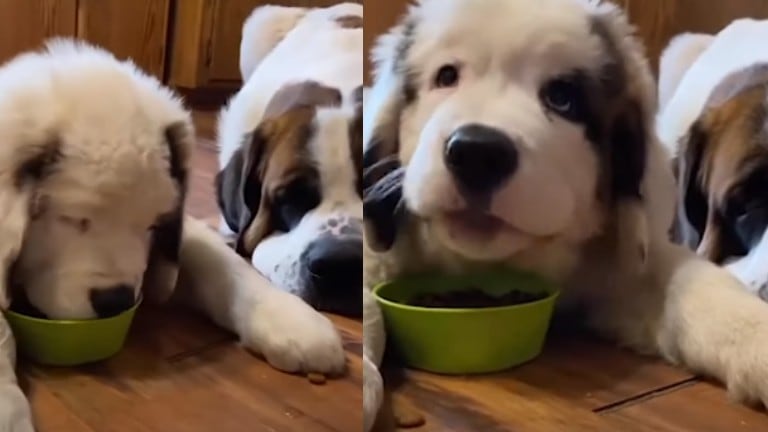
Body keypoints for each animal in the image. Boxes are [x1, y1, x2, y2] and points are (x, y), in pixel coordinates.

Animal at [0, 38, 344, 430]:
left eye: (151, 225)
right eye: (72, 220)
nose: (116, 301)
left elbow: (218, 260)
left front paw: (289, 317)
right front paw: (8, 410)